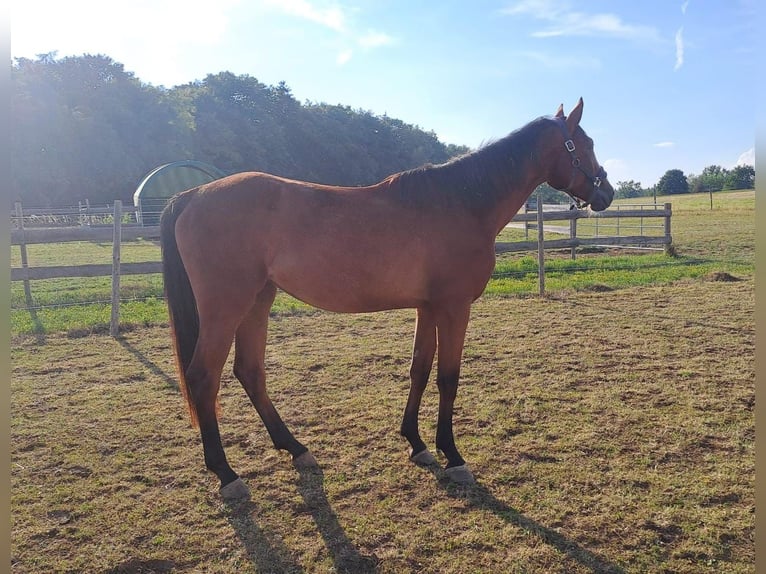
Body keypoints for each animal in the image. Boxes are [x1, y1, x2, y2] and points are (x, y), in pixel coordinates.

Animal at [159, 98, 614, 500]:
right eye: (586, 144)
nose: (607, 193)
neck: (462, 202)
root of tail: (193, 195)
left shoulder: (428, 307)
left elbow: (419, 369)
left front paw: (417, 444)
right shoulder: (454, 307)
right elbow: (448, 377)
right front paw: (453, 456)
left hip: (258, 301)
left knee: (250, 372)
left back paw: (296, 448)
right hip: (226, 307)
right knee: (203, 377)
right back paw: (227, 474)